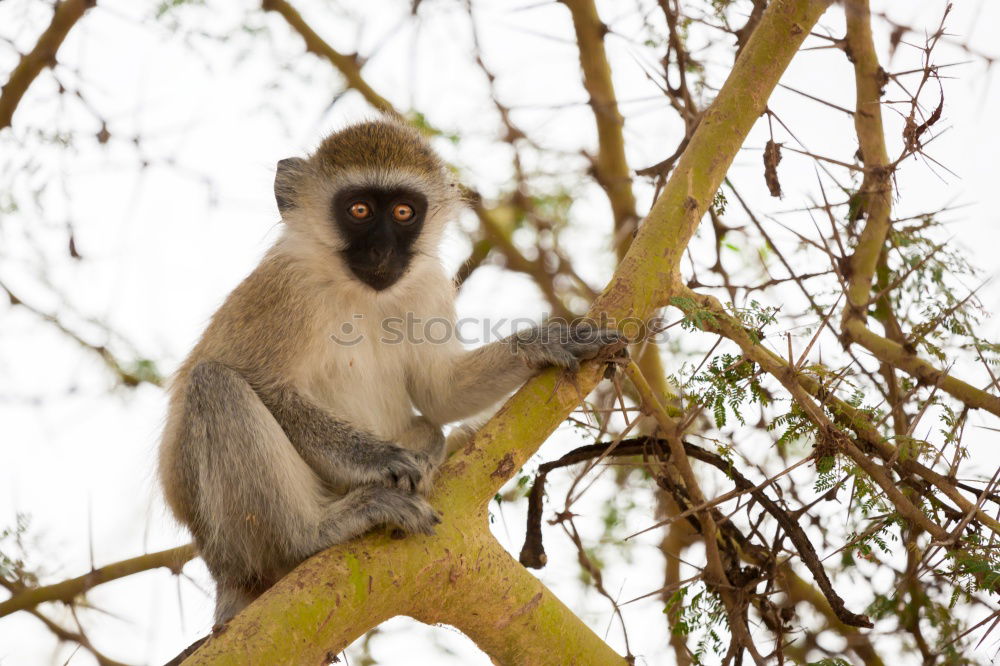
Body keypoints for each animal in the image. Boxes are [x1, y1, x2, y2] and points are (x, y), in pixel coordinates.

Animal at [159, 119, 620, 624]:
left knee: (428, 424)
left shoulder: (429, 286)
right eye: (359, 210)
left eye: (403, 212)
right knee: (214, 383)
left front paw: (544, 342)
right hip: (237, 543)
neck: (360, 290)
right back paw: (312, 535)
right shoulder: (285, 287)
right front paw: (381, 460)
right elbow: (263, 383)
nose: (381, 251)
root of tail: (225, 571)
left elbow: (440, 394)